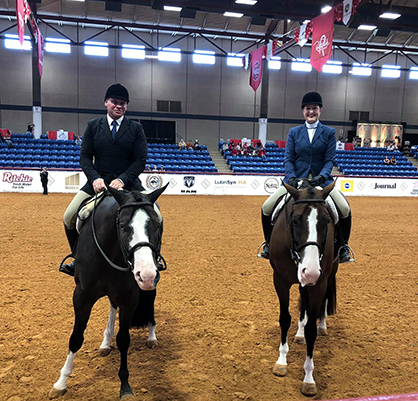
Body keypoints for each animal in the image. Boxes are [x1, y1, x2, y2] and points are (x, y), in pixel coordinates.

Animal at [48, 184, 167, 396]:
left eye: (156, 225)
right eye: (123, 226)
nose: (145, 275)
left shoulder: (129, 297)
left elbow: (124, 339)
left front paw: (125, 386)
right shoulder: (82, 296)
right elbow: (76, 338)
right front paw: (61, 383)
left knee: (149, 301)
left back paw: (151, 336)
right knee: (112, 305)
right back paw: (105, 342)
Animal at [268, 180, 340, 396]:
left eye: (326, 220)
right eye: (295, 220)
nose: (311, 271)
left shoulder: (319, 283)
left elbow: (311, 330)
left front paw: (309, 379)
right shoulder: (280, 280)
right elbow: (285, 319)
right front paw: (281, 362)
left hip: (330, 273)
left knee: (324, 300)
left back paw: (322, 324)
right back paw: (298, 334)